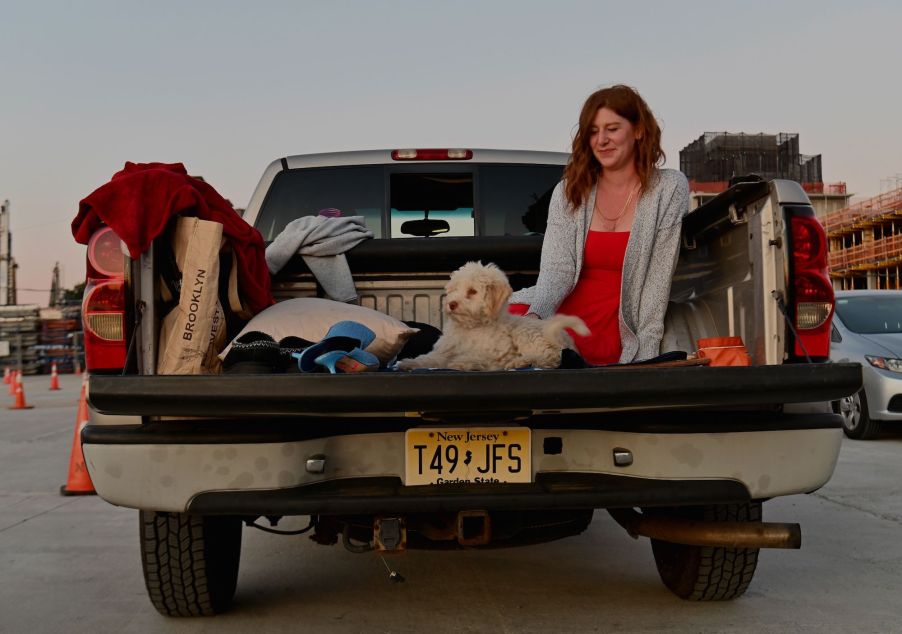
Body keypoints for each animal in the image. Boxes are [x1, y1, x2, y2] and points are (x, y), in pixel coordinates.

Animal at [398, 260, 592, 370]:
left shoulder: (498, 352)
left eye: (472, 291)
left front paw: (464, 362)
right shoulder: (445, 350)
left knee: (551, 358)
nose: (451, 304)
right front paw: (409, 363)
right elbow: (429, 358)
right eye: (453, 290)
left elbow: (479, 357)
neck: (471, 327)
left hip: (527, 335)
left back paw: (521, 362)